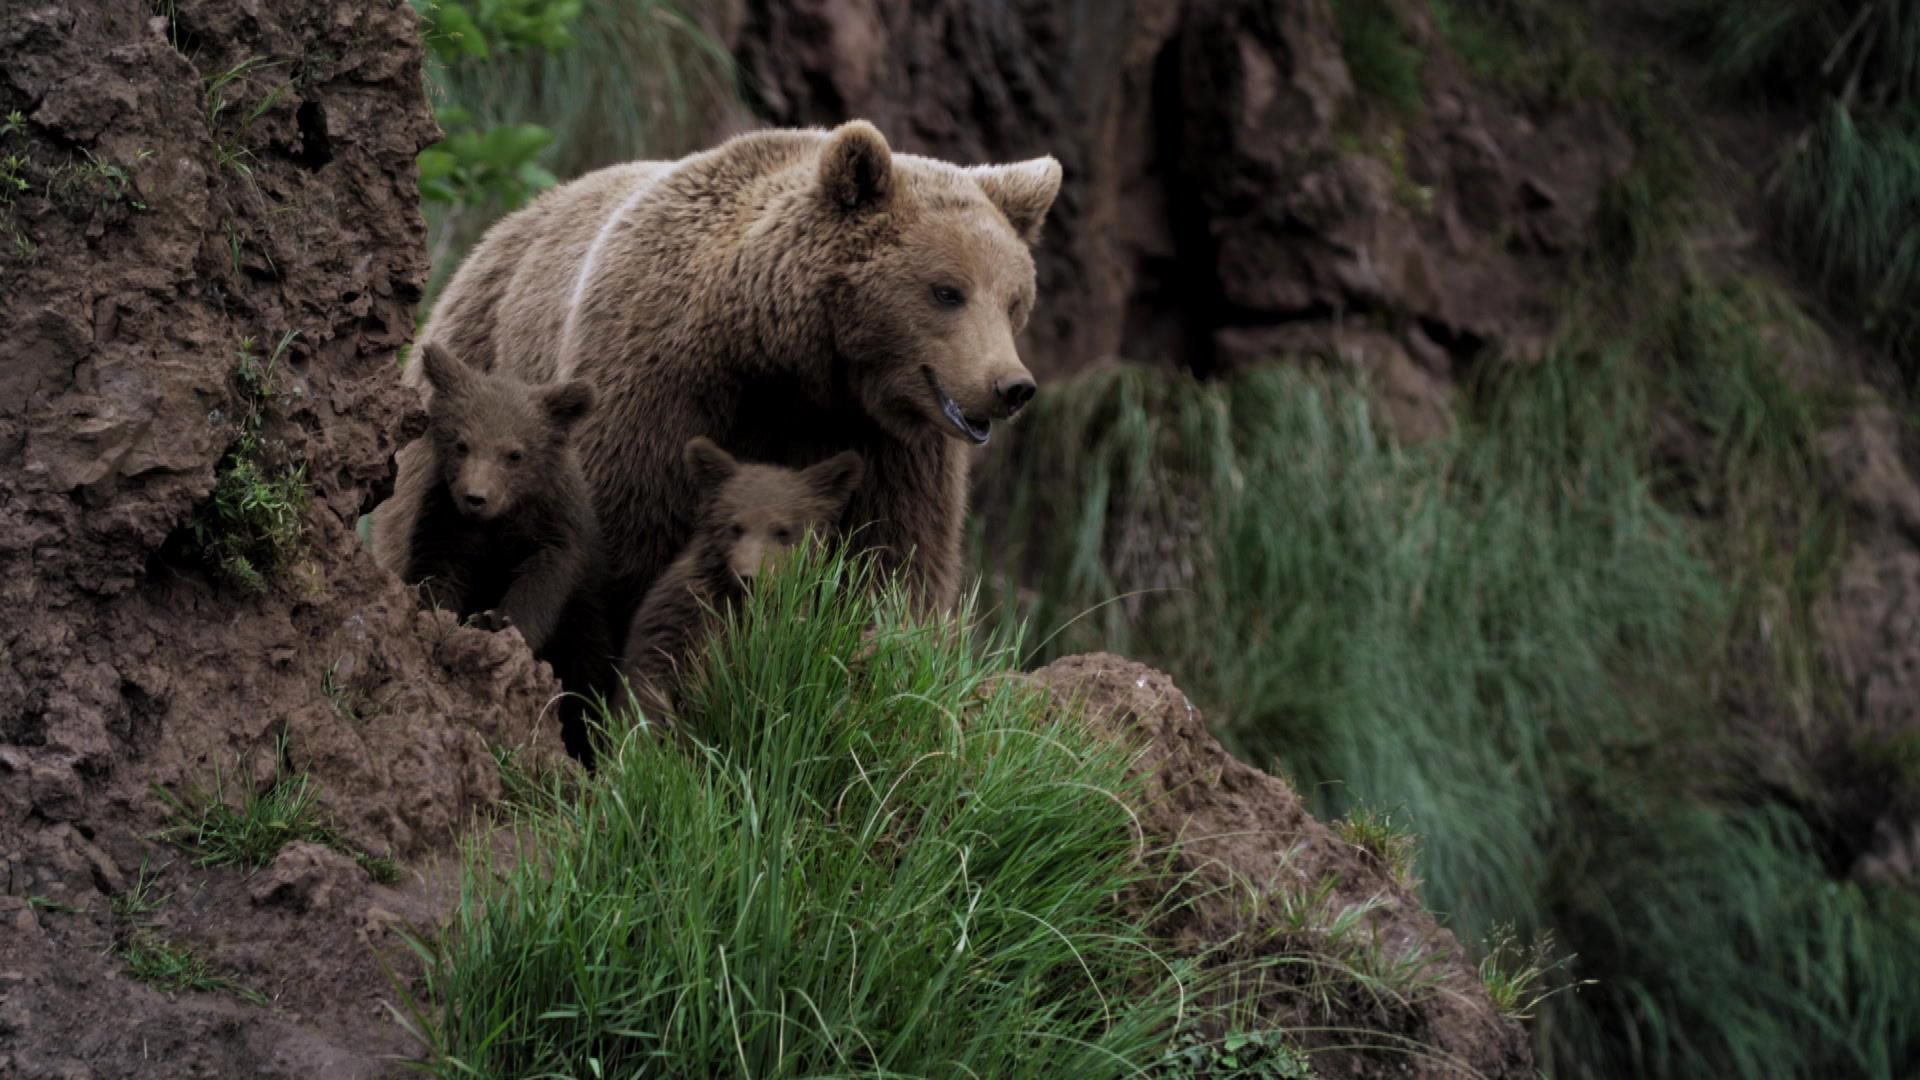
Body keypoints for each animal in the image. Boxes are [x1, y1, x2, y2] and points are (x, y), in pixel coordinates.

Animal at [410, 117, 1059, 630]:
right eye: (947, 291)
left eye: (1013, 300)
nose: (1011, 387)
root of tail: (503, 228)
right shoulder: (658, 380)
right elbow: (617, 535)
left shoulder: (888, 441)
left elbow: (893, 557)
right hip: (480, 359)